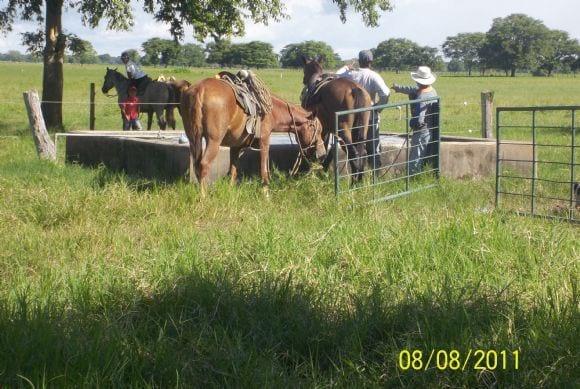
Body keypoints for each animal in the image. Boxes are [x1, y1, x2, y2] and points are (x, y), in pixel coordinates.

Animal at [181, 71, 326, 194]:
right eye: (318, 130)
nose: (323, 153)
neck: (272, 111)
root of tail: (200, 90)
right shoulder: (264, 140)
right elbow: (264, 171)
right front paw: (266, 194)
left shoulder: (236, 146)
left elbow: (232, 171)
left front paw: (230, 192)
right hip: (213, 141)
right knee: (204, 165)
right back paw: (203, 197)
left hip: (193, 139)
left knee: (196, 165)